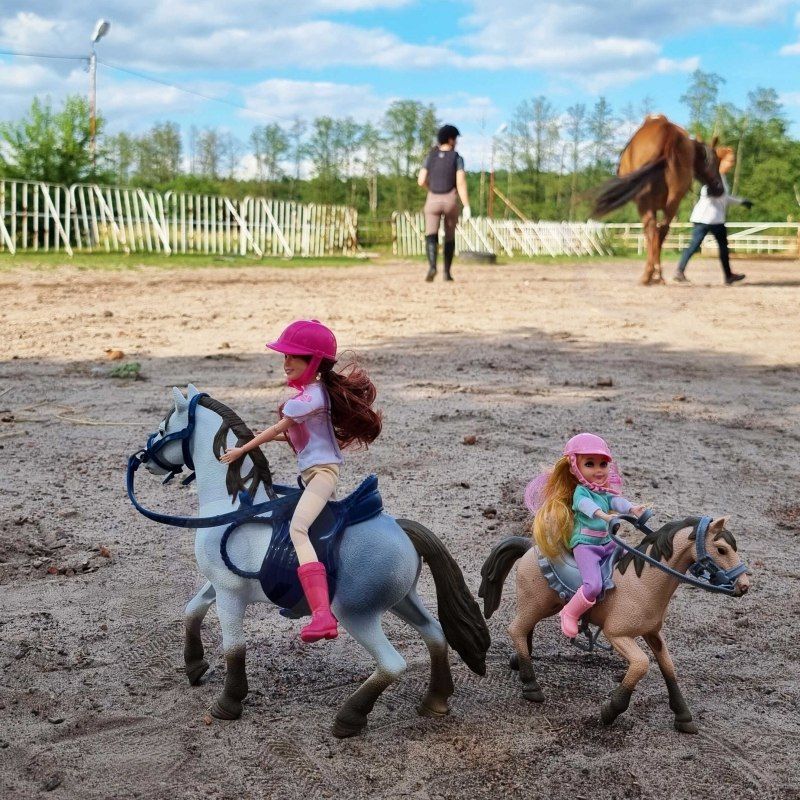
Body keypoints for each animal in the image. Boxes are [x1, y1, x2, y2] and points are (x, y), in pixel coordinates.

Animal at [482, 520, 752, 732]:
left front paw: (684, 717)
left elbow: (668, 667)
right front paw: (610, 710)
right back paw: (531, 685)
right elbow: (641, 665)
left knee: (525, 629)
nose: (744, 586)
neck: (643, 583)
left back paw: (519, 661)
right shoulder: (617, 636)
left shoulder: (652, 633)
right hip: (536, 604)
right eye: (721, 549)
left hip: (543, 606)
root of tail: (530, 547)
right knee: (516, 629)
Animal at [592, 115, 728, 284]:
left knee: (652, 231)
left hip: (645, 203)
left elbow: (649, 235)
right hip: (673, 202)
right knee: (662, 231)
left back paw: (648, 275)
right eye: (715, 161)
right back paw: (658, 275)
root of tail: (668, 133)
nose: (719, 188)